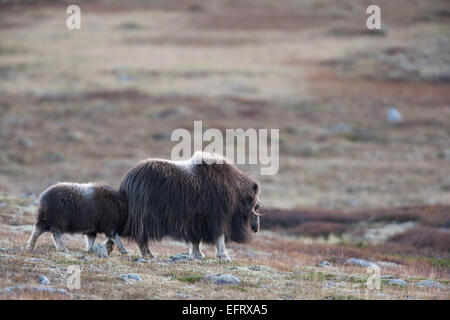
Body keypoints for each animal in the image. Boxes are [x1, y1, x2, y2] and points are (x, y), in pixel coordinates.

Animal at [119, 151, 262, 262]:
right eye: (257, 206)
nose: (256, 228)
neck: (235, 189)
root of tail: (128, 180)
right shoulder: (218, 217)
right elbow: (220, 236)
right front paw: (224, 256)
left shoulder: (195, 221)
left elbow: (195, 239)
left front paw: (198, 254)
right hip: (145, 217)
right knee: (141, 236)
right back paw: (149, 255)